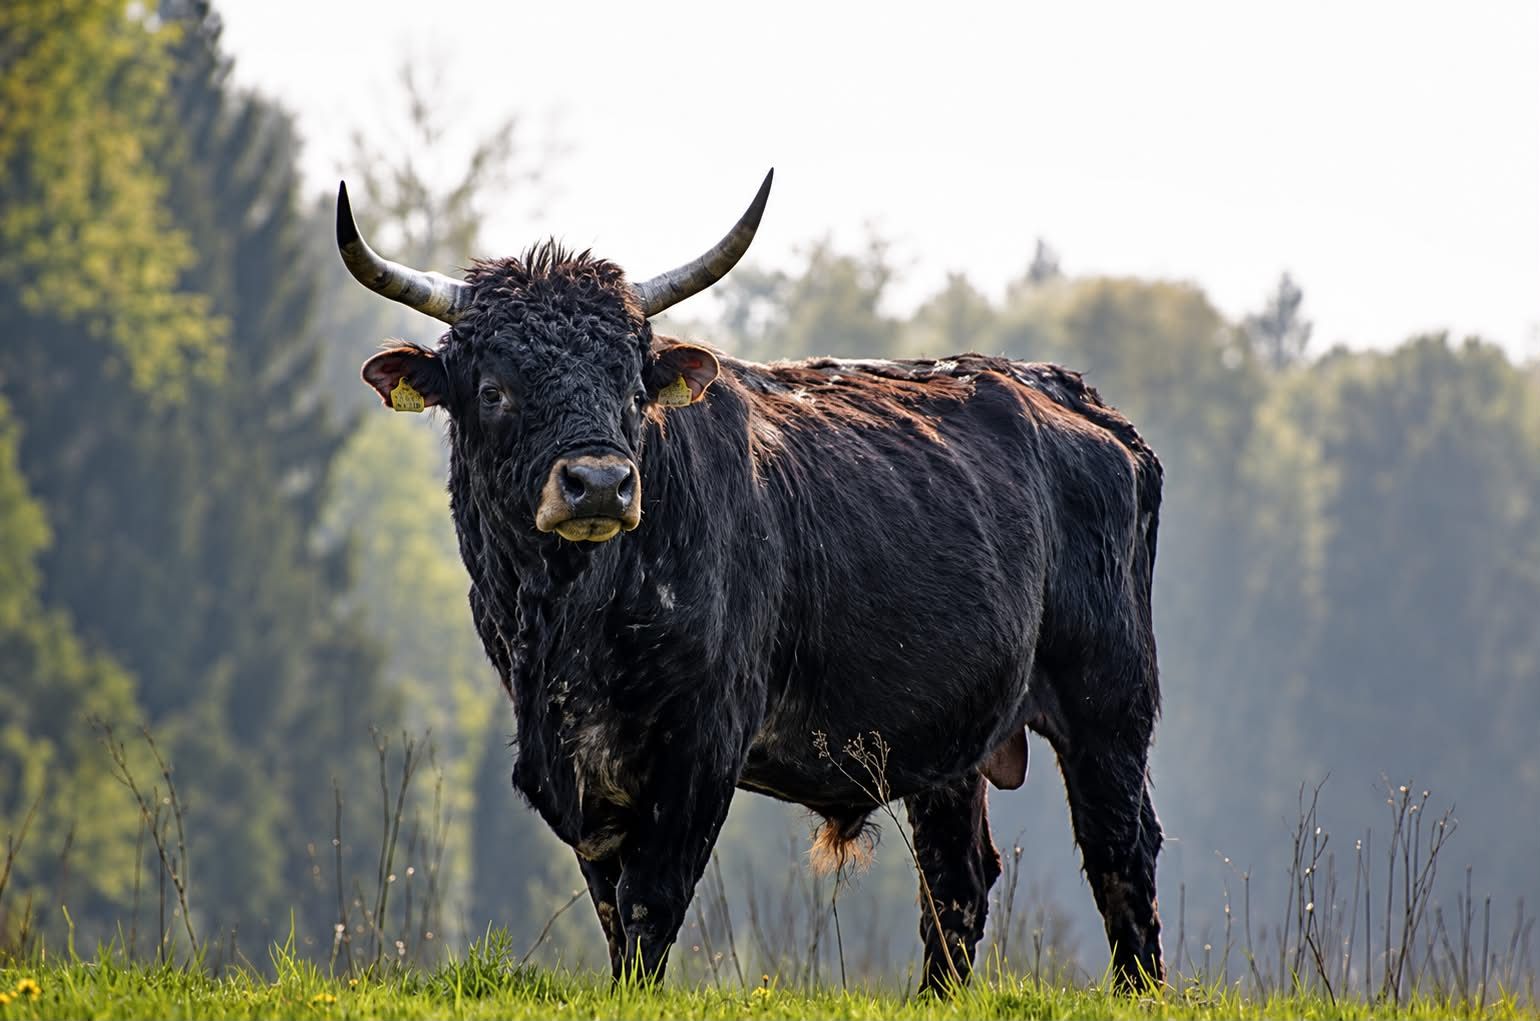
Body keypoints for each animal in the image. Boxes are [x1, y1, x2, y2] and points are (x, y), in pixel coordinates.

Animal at [335, 170, 1166, 993]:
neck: (572, 620)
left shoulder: (703, 743)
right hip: (954, 736)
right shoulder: (573, 767)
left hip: (1110, 704)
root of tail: (1072, 395)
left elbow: (649, 903)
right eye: (493, 389)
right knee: (958, 879)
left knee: (1121, 852)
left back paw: (1140, 986)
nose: (600, 483)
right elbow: (611, 910)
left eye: (632, 386)